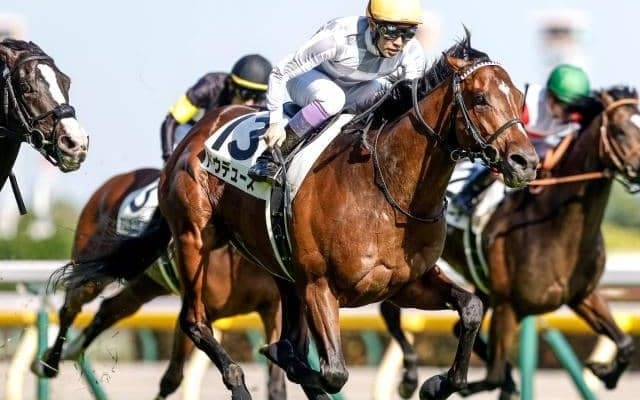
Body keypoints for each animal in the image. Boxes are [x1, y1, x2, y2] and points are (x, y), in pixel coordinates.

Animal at [36, 168, 286, 400]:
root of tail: (114, 181)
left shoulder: (272, 309)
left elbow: (276, 381)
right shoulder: (199, 309)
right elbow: (172, 376)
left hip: (146, 284)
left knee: (110, 308)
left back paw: (73, 349)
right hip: (93, 272)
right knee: (70, 307)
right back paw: (50, 362)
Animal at [380, 85, 640, 399]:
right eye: (620, 130)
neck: (556, 227)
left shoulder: (582, 296)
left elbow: (626, 344)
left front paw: (604, 372)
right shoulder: (507, 307)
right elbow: (491, 375)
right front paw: (442, 384)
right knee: (389, 311)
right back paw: (409, 376)